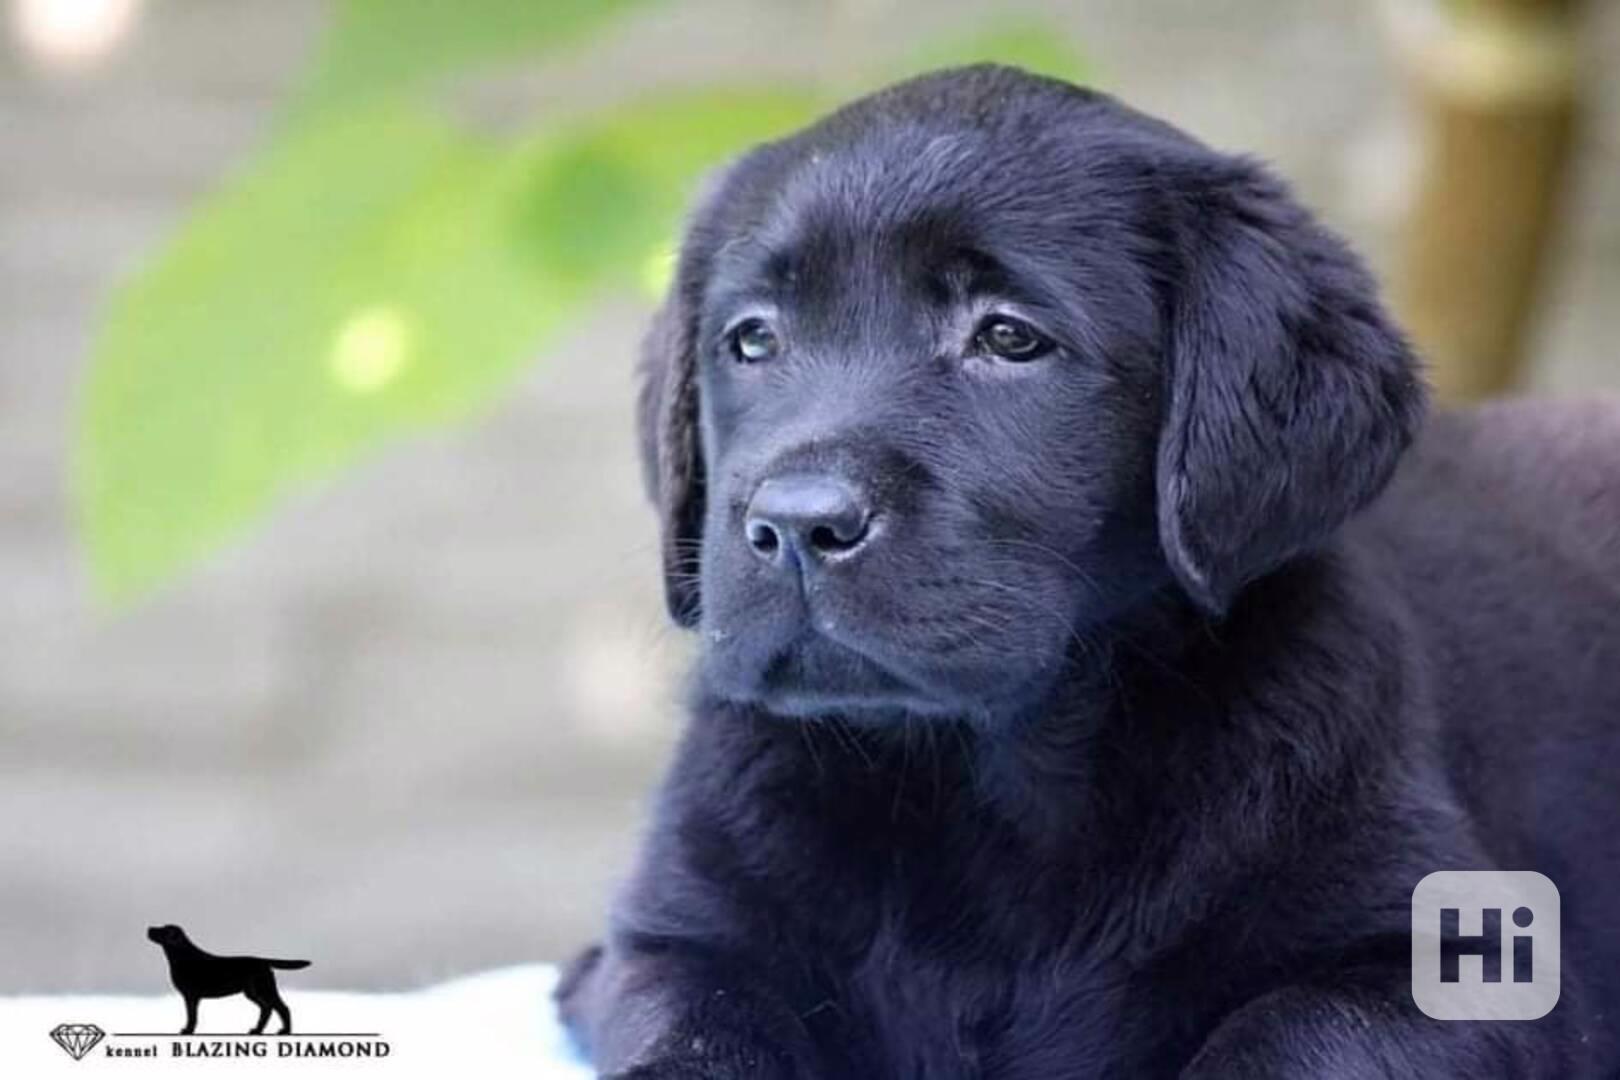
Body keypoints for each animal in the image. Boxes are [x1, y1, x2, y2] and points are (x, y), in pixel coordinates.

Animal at [560, 65, 1620, 1075]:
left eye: (1008, 337)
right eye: (752, 339)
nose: (795, 522)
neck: (984, 776)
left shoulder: (1454, 961)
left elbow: (1288, 1036)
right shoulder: (677, 942)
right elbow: (697, 1032)